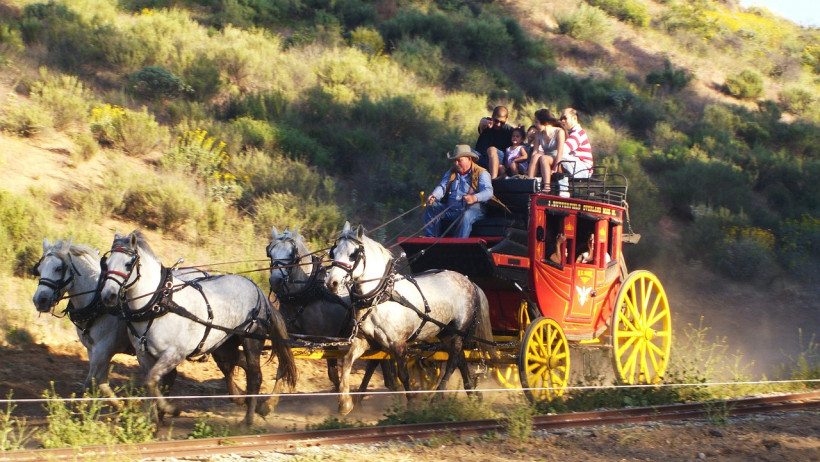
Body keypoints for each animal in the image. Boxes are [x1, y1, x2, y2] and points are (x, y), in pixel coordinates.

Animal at [99, 231, 298, 426]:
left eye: (128, 264)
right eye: (106, 264)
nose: (108, 296)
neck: (159, 303)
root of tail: (259, 291)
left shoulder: (174, 353)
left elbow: (153, 380)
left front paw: (171, 409)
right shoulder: (144, 355)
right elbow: (152, 384)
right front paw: (154, 418)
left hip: (252, 339)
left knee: (255, 375)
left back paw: (248, 419)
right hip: (224, 346)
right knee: (242, 365)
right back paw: (252, 404)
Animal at [268, 226, 398, 392]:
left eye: (292, 253)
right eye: (270, 252)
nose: (275, 281)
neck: (307, 294)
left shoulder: (327, 340)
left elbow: (333, 374)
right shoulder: (289, 336)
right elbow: (283, 366)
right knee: (375, 362)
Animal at [326, 221, 494, 416]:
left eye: (353, 254)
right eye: (333, 252)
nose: (332, 283)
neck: (381, 297)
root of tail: (470, 282)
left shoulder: (398, 344)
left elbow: (403, 374)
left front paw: (412, 402)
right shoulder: (364, 340)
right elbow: (346, 362)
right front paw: (345, 404)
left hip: (458, 331)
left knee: (453, 361)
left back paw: (438, 396)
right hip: (446, 332)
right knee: (460, 358)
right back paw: (472, 393)